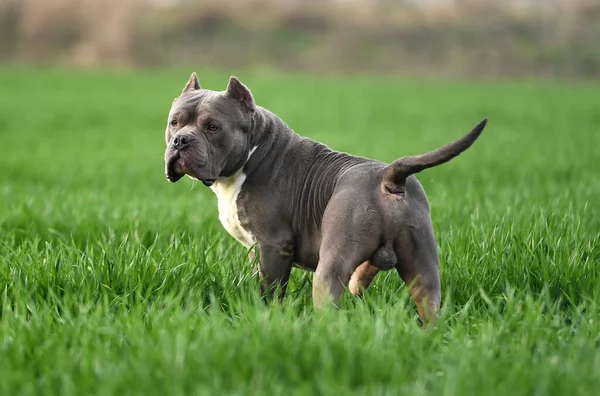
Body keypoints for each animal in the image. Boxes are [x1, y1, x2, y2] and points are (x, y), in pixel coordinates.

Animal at [164, 72, 488, 326]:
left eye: (213, 126)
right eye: (174, 123)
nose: (181, 140)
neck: (254, 153)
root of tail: (389, 177)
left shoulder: (272, 246)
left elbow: (271, 293)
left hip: (331, 263)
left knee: (328, 301)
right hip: (423, 264)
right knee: (429, 303)